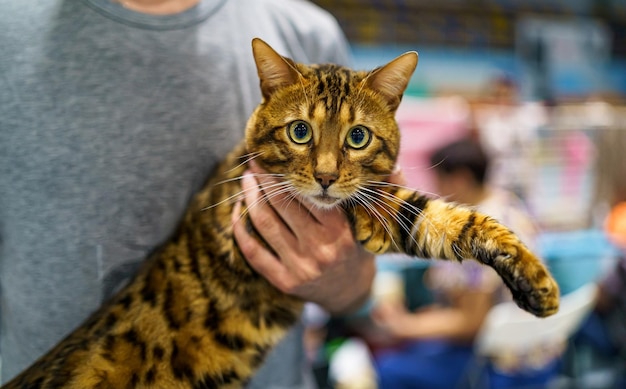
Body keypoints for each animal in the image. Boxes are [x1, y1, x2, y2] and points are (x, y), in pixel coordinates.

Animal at [2, 38, 560, 388]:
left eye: (358, 137)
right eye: (299, 131)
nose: (328, 177)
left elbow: (449, 220)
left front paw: (536, 282)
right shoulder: (260, 216)